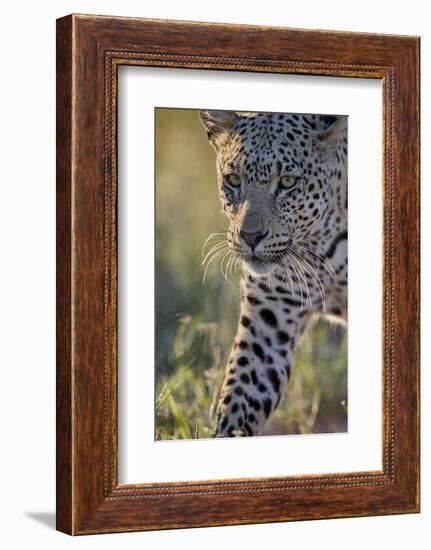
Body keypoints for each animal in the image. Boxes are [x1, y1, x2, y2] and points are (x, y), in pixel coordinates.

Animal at [201, 110, 350, 440]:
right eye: (233, 180)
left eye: (288, 182)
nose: (250, 237)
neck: (318, 243)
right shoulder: (267, 328)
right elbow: (237, 401)